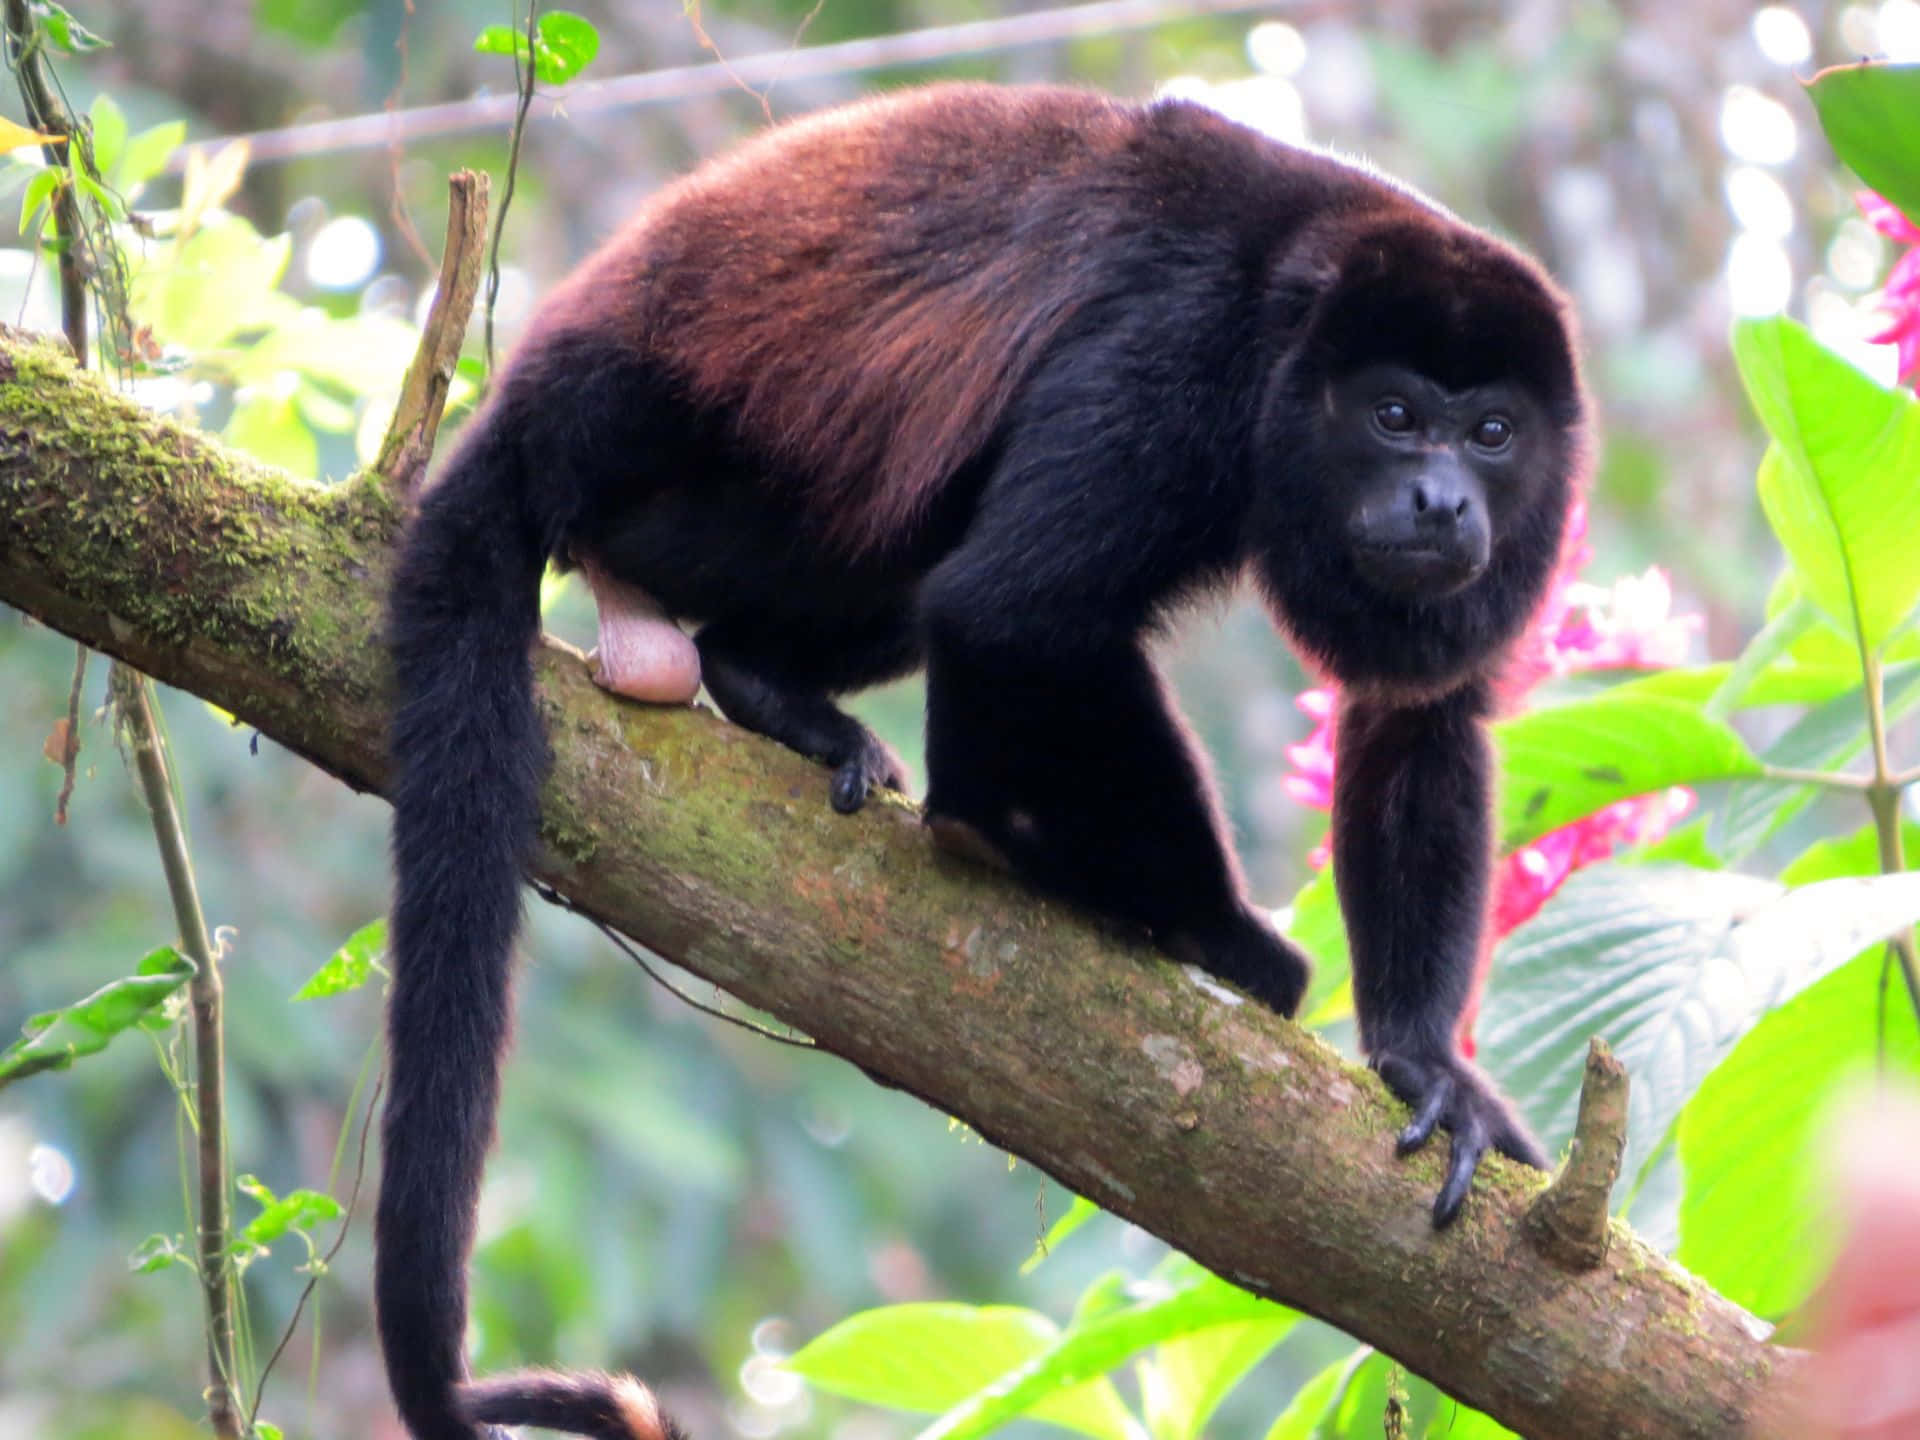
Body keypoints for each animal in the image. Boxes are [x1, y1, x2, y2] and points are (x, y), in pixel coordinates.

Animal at [381, 82, 1585, 1440]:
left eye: (1492, 433)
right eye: (1393, 417)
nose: (1442, 500)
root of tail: (535, 394)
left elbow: (1422, 713)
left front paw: (1427, 1065)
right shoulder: (1180, 357)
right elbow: (1017, 608)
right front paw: (1223, 936)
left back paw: (775, 693)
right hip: (668, 471)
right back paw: (990, 828)